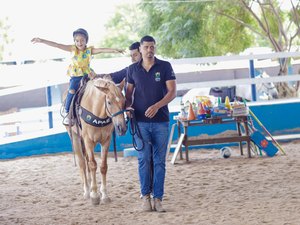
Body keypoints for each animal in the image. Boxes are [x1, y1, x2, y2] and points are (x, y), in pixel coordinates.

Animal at [64, 77, 126, 206]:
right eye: (109, 102)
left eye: (124, 101)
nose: (121, 128)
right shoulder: (88, 141)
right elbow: (92, 165)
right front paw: (94, 195)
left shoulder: (106, 141)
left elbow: (103, 166)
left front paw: (104, 195)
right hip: (75, 138)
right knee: (82, 163)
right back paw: (87, 191)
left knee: (86, 162)